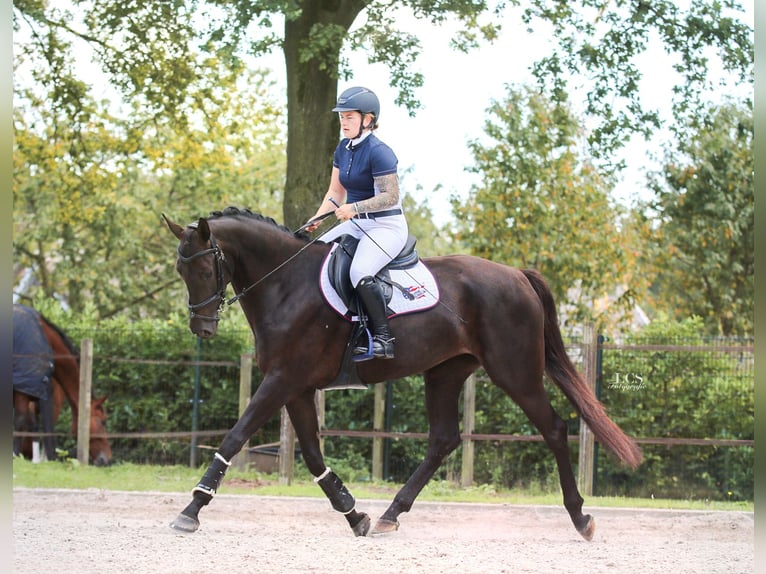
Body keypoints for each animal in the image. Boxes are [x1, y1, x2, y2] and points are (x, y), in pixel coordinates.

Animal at [165, 209, 644, 544]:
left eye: (205, 270)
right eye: (180, 271)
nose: (202, 328)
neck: (286, 282)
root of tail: (516, 275)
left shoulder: (282, 380)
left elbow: (235, 438)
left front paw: (191, 510)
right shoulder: (297, 388)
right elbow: (314, 457)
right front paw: (354, 514)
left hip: (515, 373)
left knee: (555, 429)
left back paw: (580, 517)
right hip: (445, 373)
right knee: (444, 439)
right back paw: (389, 515)